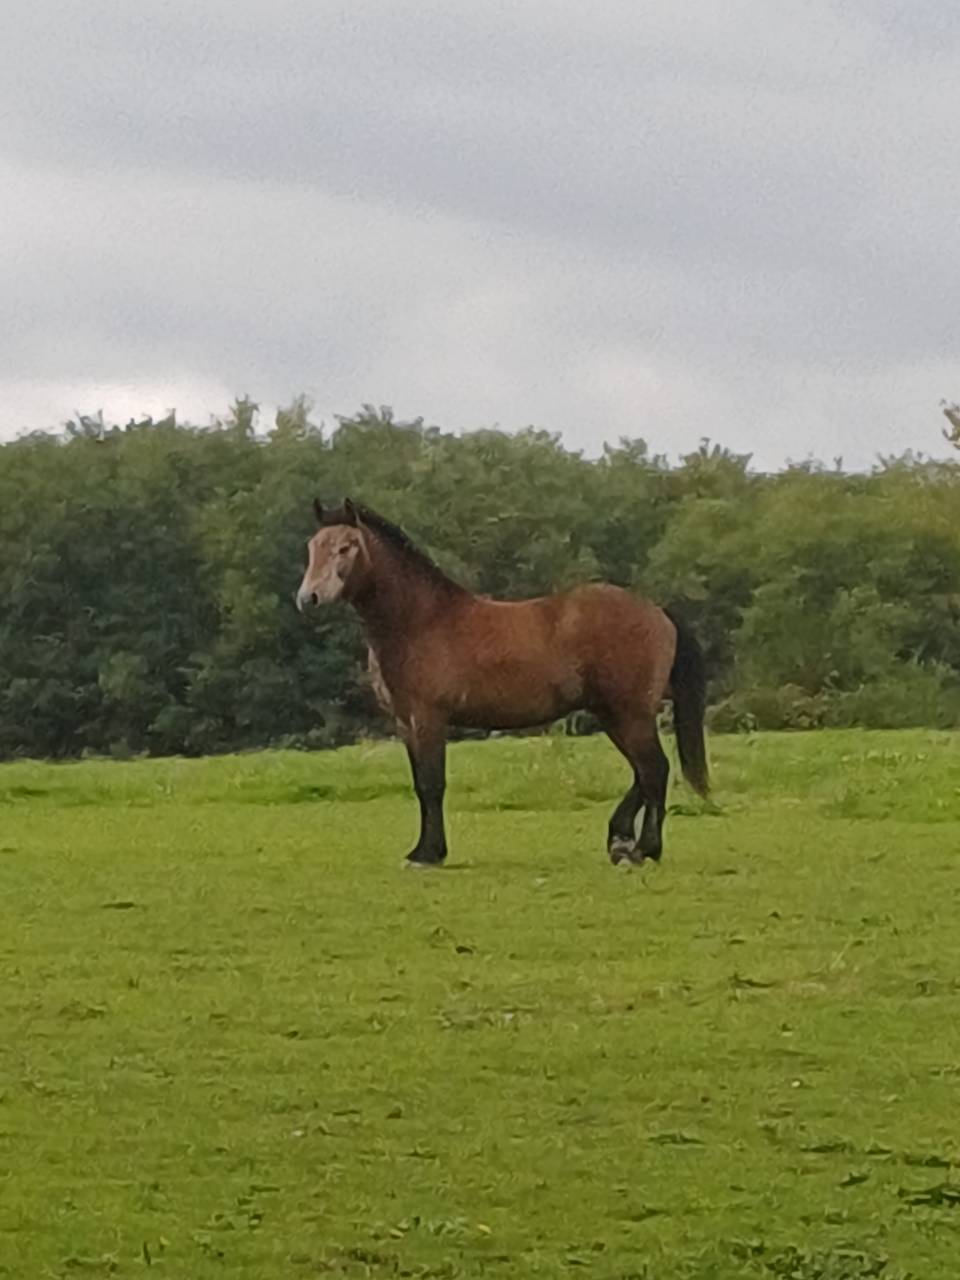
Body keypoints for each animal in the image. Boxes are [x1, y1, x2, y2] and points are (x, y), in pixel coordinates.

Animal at [296, 498, 709, 868]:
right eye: (313, 547)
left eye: (345, 547)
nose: (308, 598)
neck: (420, 622)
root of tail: (657, 612)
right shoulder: (406, 723)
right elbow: (420, 785)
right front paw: (423, 850)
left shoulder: (429, 718)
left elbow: (432, 784)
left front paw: (429, 854)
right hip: (614, 714)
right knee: (644, 772)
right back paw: (621, 840)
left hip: (629, 713)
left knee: (654, 770)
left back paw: (642, 850)